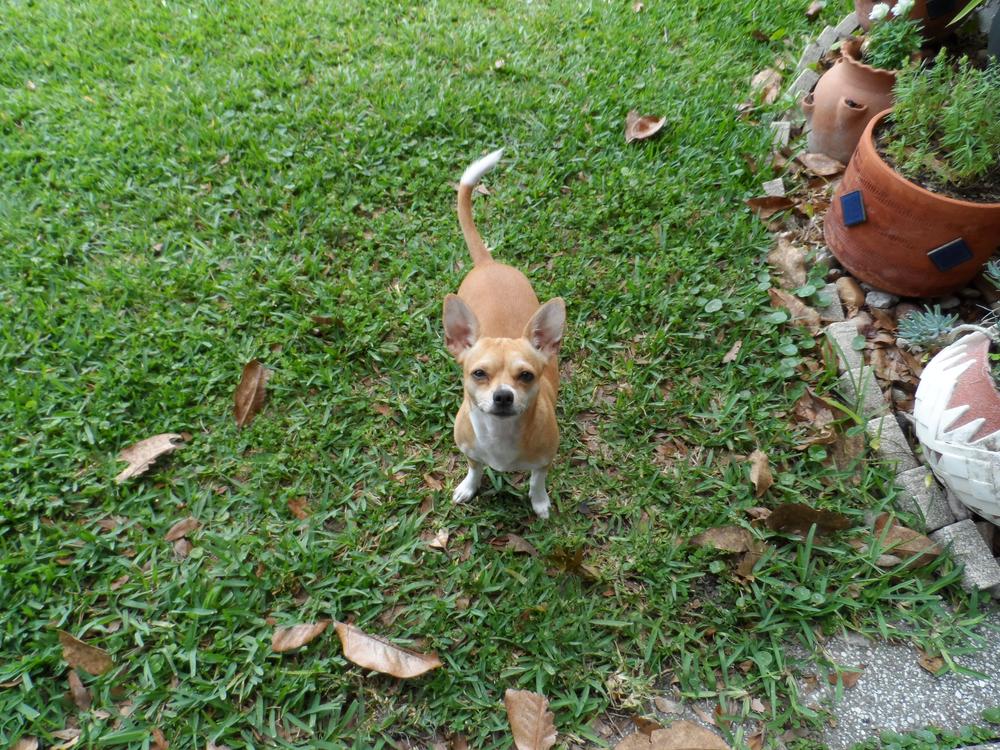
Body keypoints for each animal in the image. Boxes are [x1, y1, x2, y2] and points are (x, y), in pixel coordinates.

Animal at [444, 150, 568, 520]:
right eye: (478, 374)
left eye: (526, 375)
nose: (503, 396)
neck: (500, 437)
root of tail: (488, 263)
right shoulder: (469, 451)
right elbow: (475, 469)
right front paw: (468, 487)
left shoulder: (544, 461)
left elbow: (536, 481)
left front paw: (539, 503)